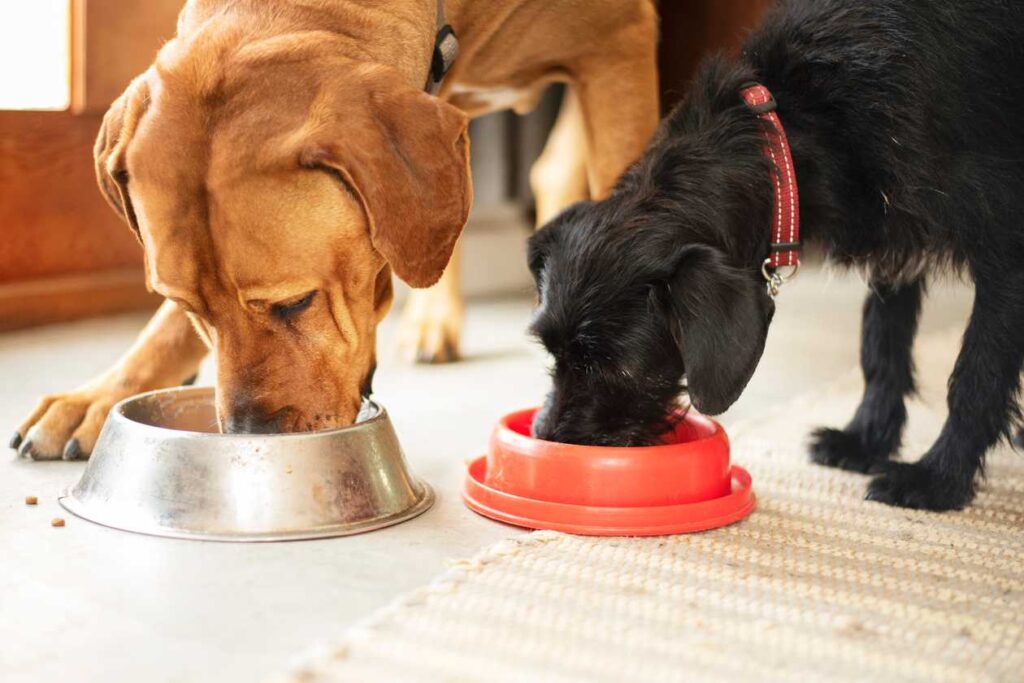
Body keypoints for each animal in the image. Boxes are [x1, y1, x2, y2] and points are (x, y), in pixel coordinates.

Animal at [528, 0, 1024, 509]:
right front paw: (865, 440)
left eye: (617, 367)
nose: (548, 439)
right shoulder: (895, 237)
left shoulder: (1005, 249)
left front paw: (937, 478)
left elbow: (975, 375)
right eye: (552, 352)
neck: (800, 121)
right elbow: (882, 341)